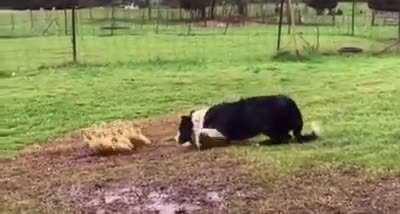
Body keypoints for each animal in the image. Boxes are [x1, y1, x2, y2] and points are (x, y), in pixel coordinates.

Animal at [175, 94, 318, 150]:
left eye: (181, 128)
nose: (175, 139)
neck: (200, 119)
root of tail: (292, 103)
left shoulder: (221, 131)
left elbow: (201, 133)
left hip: (268, 127)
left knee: (283, 138)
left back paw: (262, 143)